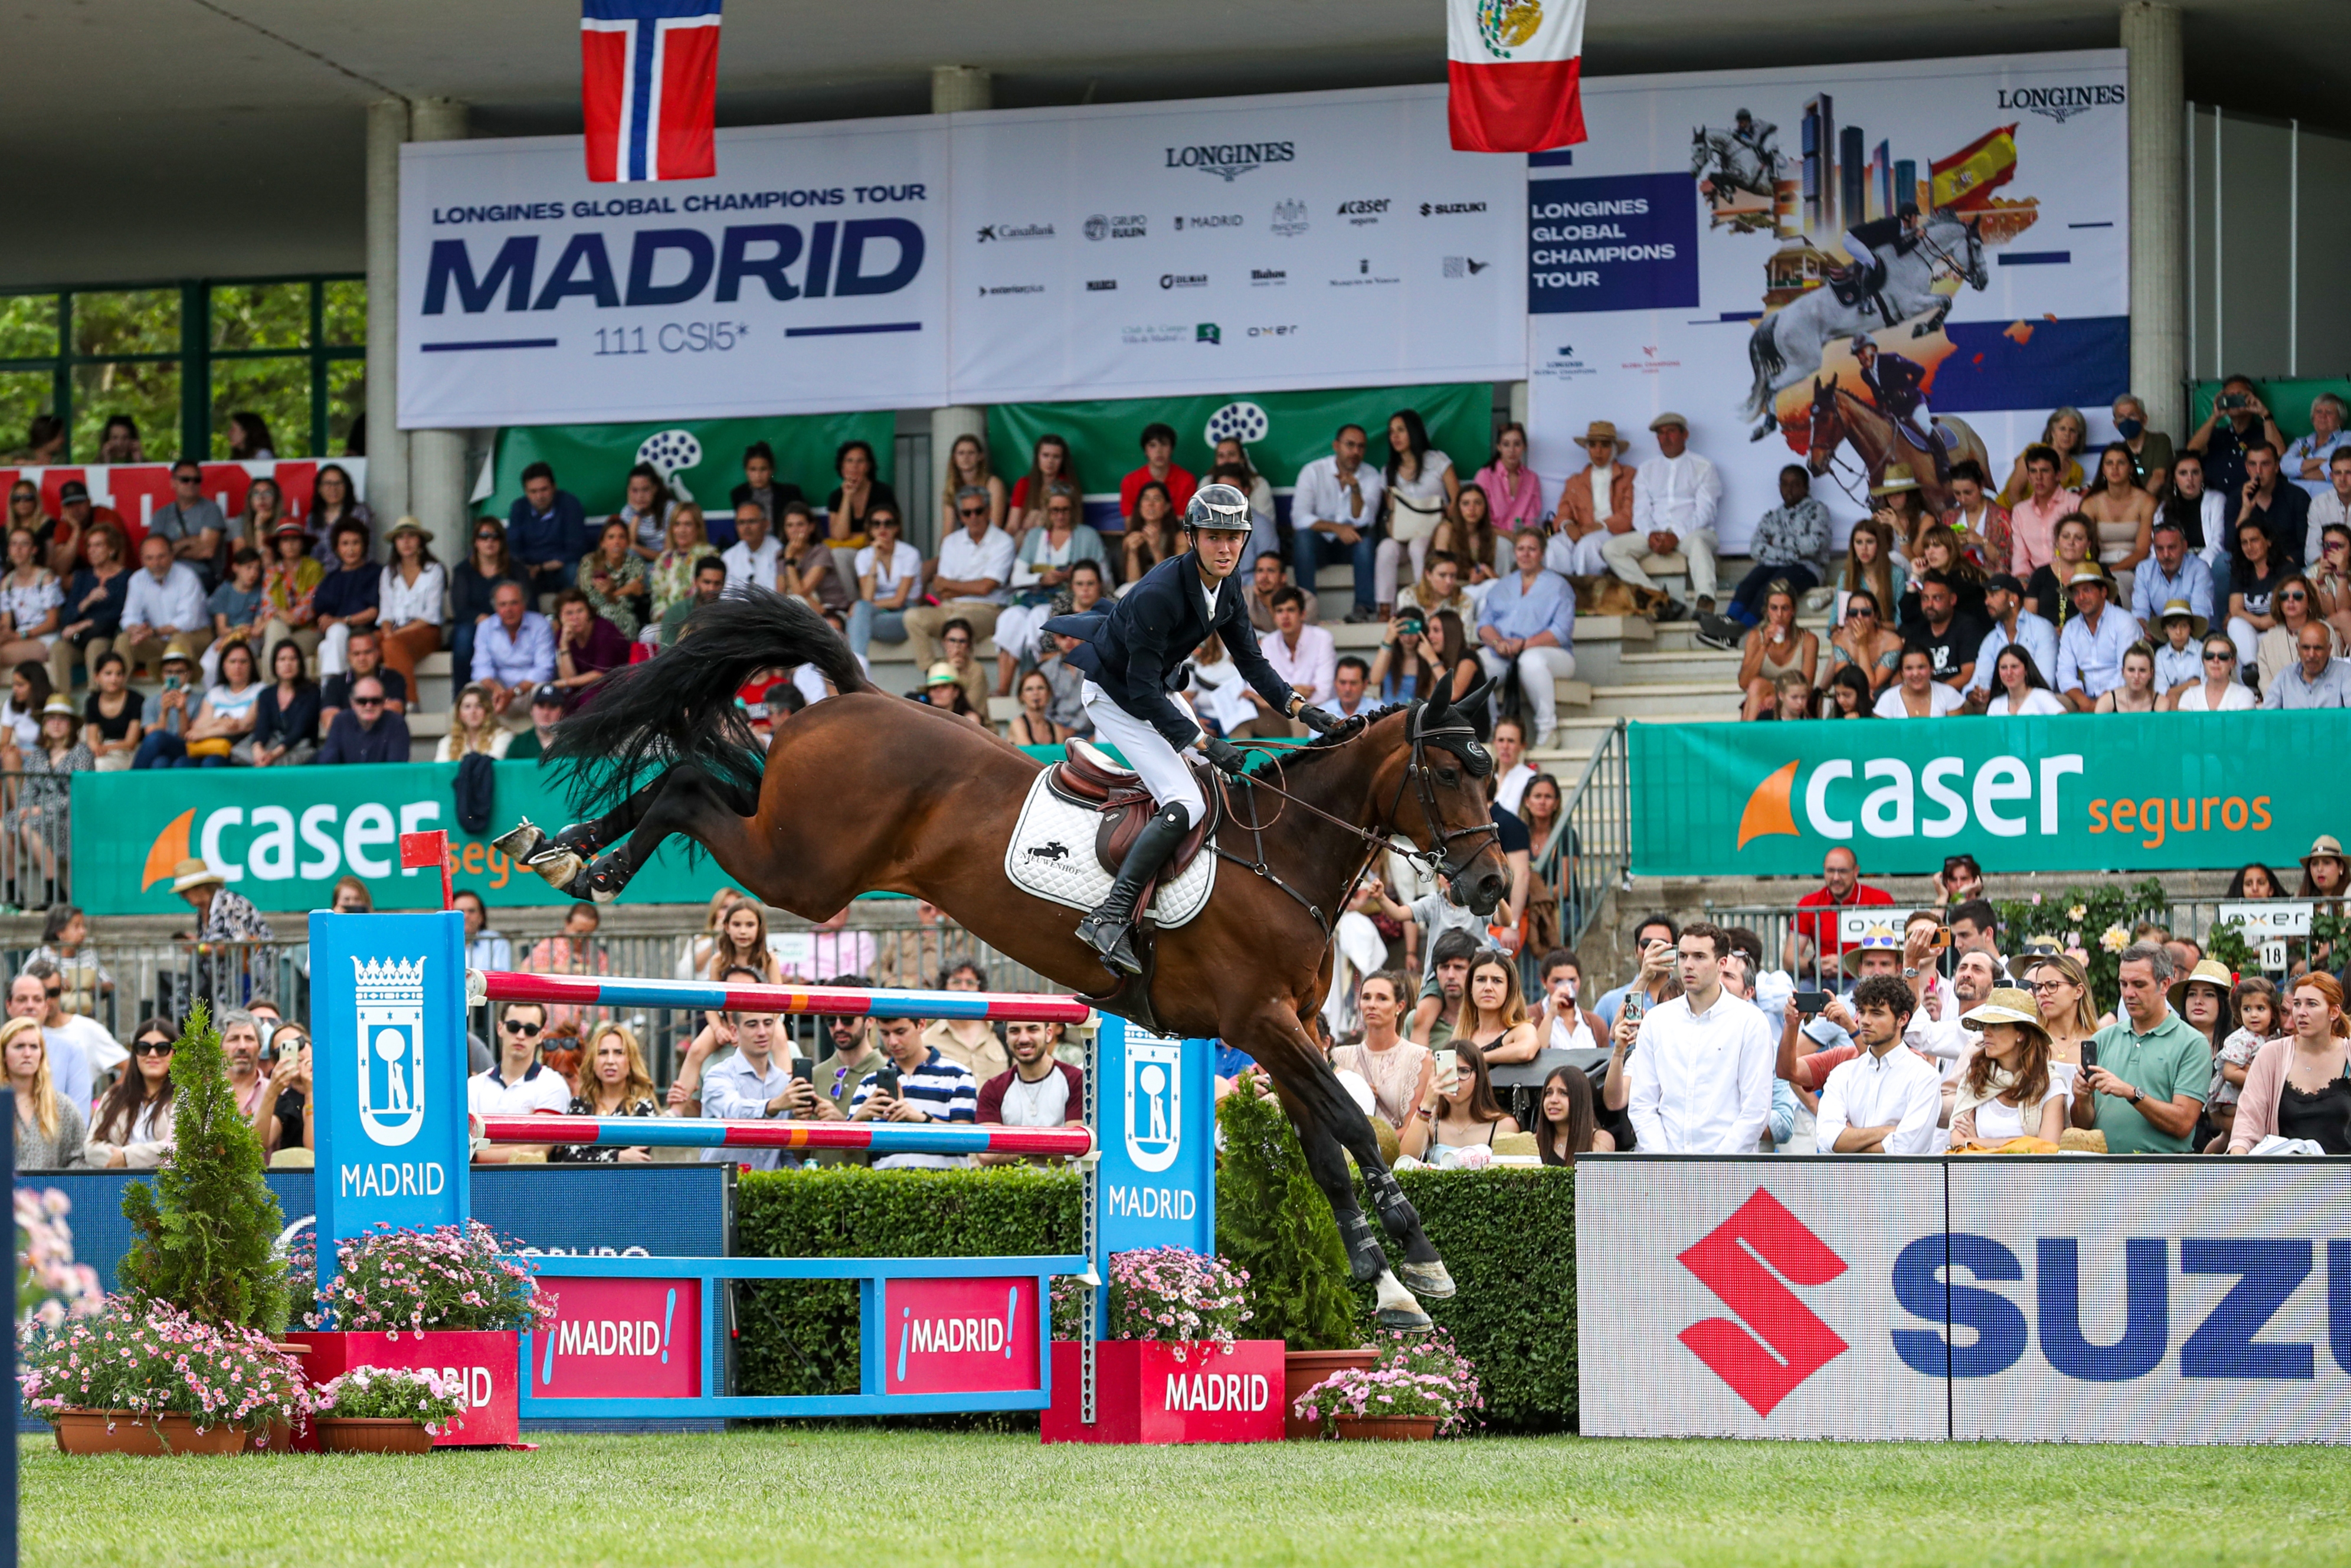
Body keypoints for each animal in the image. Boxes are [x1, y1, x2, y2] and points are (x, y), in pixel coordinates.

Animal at [497, 588, 1513, 1333]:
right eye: (1449, 774)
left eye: (1494, 771)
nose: (1492, 884)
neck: (1288, 857)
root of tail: (861, 692)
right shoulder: (1259, 1020)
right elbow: (1347, 1125)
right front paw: (1423, 1260)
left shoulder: (1286, 1028)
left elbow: (1329, 1149)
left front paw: (1390, 1290)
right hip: (802, 866)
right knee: (685, 782)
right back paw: (578, 853)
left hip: (799, 851)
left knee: (697, 774)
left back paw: (573, 849)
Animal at [1739, 211, 1987, 439]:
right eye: (1976, 246)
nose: (1983, 282)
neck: (1912, 259)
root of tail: (1779, 317)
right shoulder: (1909, 304)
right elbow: (1945, 301)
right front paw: (1924, 328)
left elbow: (1945, 302)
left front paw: (1925, 327)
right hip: (1804, 363)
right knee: (1772, 385)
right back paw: (1767, 426)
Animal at [1803, 375, 1989, 519]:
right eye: (1811, 419)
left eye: (1827, 418)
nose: (1814, 466)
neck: (1888, 456)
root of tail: (1963, 424)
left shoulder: (1936, 506)